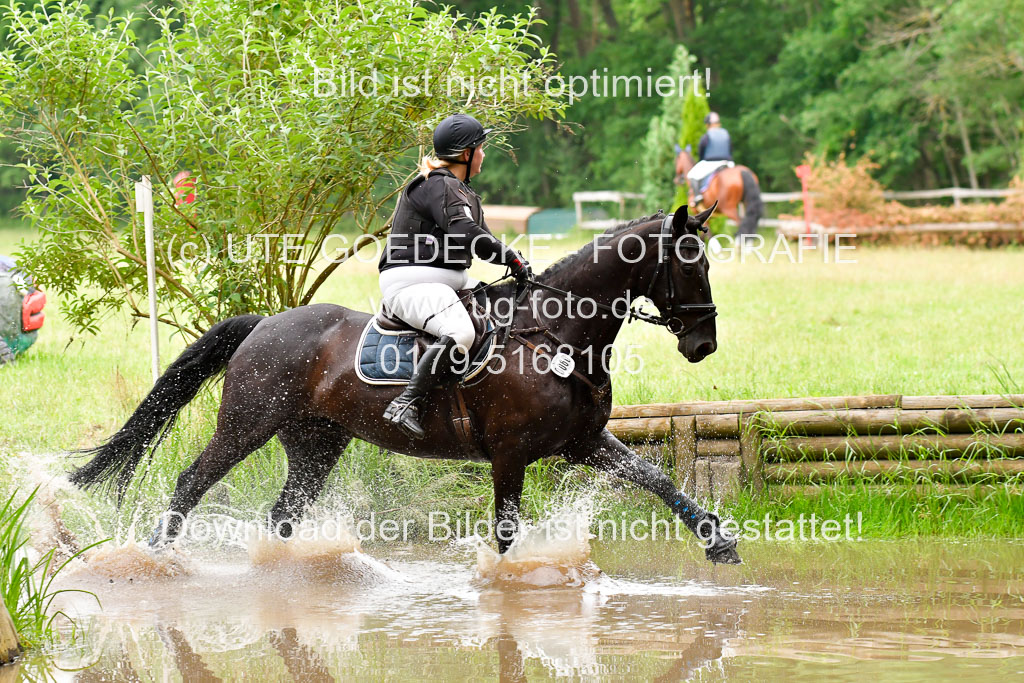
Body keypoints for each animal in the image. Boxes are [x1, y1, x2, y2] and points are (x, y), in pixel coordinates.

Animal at [74, 204, 745, 565]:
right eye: (693, 264)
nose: (704, 344)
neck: (555, 332)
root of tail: (265, 322)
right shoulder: (510, 455)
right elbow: (507, 532)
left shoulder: (582, 442)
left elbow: (657, 478)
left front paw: (718, 543)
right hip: (248, 424)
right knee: (193, 481)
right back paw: (156, 558)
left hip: (316, 444)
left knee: (284, 513)